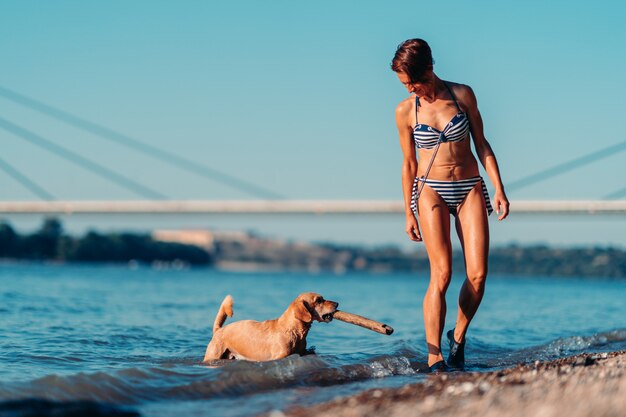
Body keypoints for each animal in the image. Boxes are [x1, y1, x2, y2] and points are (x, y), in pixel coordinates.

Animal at [204, 292, 336, 360]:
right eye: (318, 300)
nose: (337, 303)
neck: (293, 330)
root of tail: (219, 330)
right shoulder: (279, 356)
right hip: (213, 355)